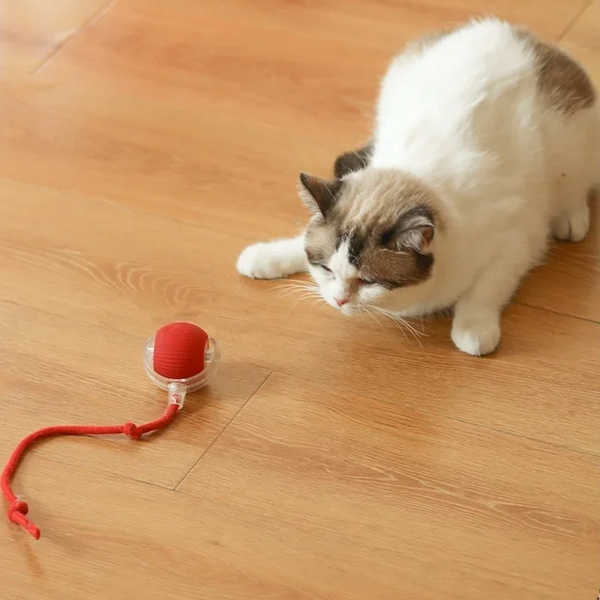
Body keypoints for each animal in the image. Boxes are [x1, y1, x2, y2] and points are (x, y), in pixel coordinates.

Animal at [237, 18, 596, 356]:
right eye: (326, 269)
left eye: (368, 281)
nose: (338, 301)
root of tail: (516, 32)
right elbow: (297, 243)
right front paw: (263, 257)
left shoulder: (517, 244)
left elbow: (484, 292)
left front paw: (473, 331)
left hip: (571, 147)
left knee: (576, 189)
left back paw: (571, 219)